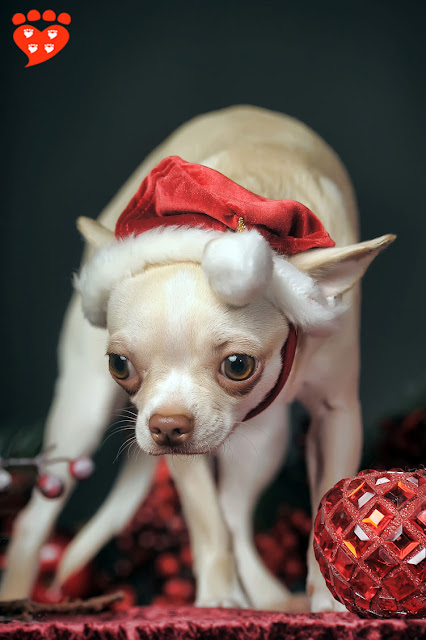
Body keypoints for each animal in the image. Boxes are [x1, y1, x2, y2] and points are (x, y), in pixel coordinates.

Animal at [0, 105, 394, 608]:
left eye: (238, 366)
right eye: (119, 365)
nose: (166, 427)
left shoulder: (336, 413)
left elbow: (329, 505)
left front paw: (329, 600)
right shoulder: (181, 449)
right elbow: (208, 523)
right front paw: (220, 599)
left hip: (264, 441)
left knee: (235, 513)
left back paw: (270, 599)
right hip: (80, 420)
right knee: (34, 522)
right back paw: (16, 599)